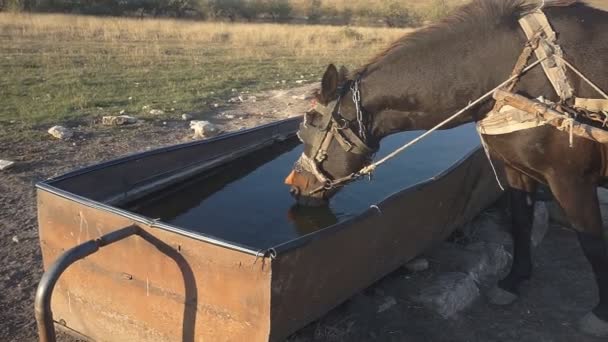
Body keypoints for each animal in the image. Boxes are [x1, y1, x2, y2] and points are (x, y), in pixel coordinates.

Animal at [284, 0, 608, 336]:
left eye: (311, 123)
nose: (295, 185)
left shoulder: (571, 180)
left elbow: (592, 243)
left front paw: (601, 313)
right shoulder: (516, 169)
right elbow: (520, 224)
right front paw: (513, 280)